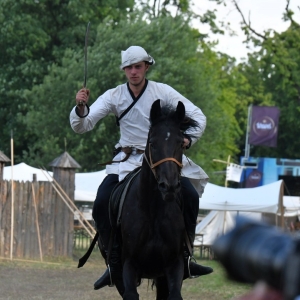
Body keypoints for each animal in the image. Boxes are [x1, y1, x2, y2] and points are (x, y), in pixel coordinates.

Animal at [119, 99, 199, 298]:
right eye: (152, 144)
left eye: (180, 144)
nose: (169, 186)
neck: (152, 212)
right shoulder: (129, 265)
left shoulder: (174, 265)